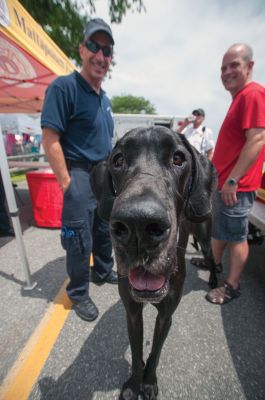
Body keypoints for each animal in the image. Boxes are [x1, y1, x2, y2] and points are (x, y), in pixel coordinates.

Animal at [91, 126, 217, 398]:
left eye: (178, 159)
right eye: (118, 160)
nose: (138, 225)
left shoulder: (166, 317)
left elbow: (155, 352)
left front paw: (148, 381)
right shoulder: (132, 313)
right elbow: (137, 349)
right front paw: (134, 382)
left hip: (204, 235)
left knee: (212, 258)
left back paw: (214, 280)